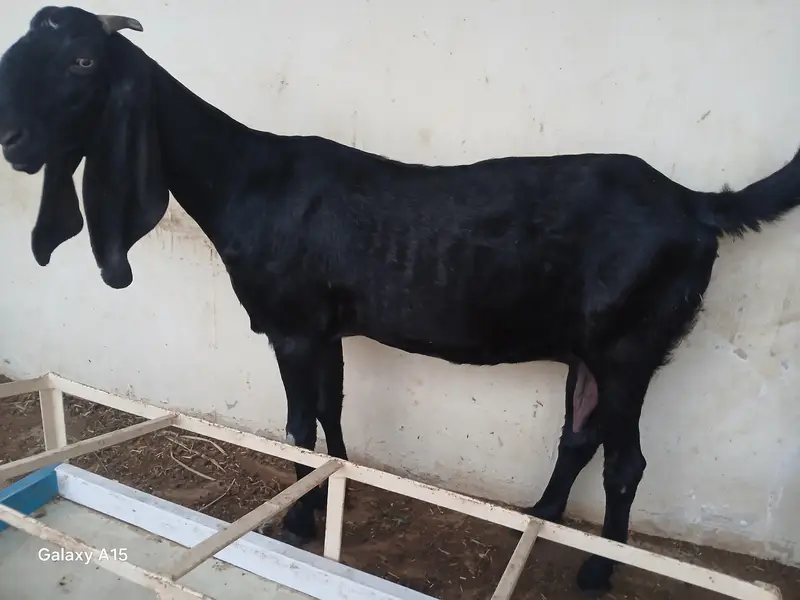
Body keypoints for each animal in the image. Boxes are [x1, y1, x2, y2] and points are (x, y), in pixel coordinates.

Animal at [2, 7, 800, 593]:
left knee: (625, 463)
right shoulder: (327, 327)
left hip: (632, 343)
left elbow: (297, 426)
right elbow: (332, 412)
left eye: (82, 63)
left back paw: (598, 572)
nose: (12, 137)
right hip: (592, 346)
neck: (247, 179)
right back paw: (539, 516)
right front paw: (331, 498)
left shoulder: (292, 324)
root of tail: (696, 205)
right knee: (578, 434)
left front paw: (297, 523)